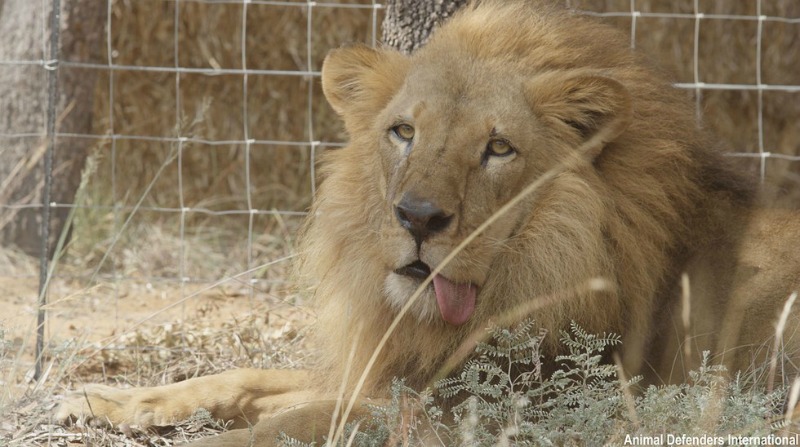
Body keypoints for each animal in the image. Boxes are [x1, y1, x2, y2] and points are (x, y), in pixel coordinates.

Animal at [56, 1, 800, 446]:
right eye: (403, 132)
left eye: (498, 148)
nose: (418, 217)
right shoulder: (391, 366)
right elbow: (242, 379)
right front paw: (101, 399)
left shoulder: (484, 410)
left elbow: (291, 422)